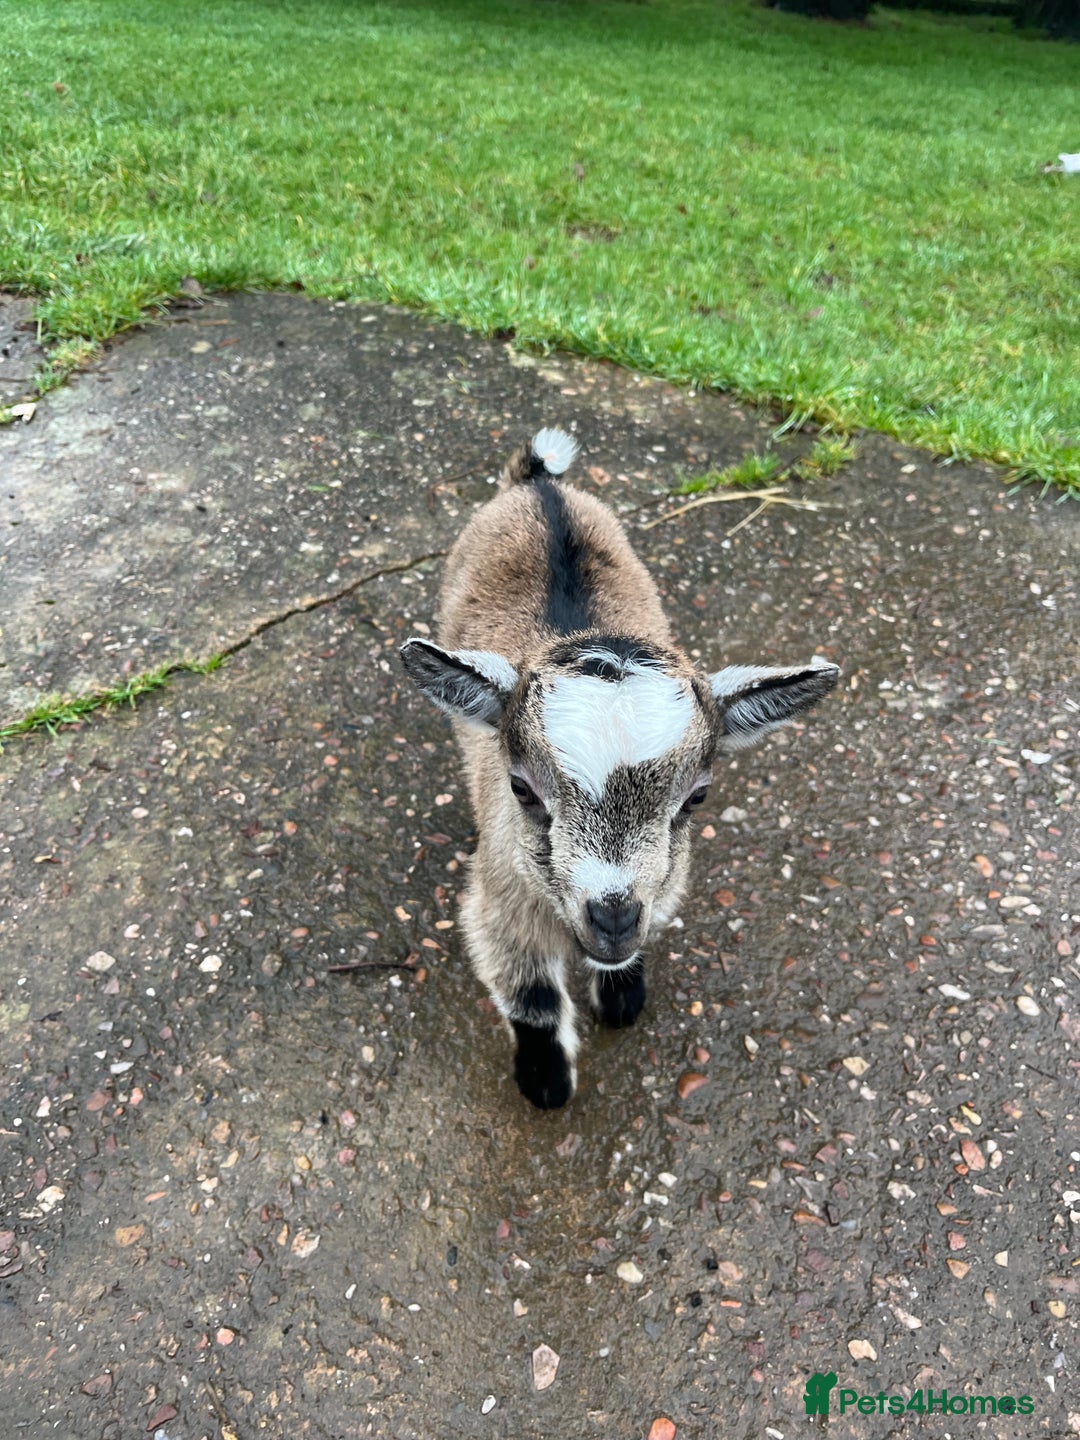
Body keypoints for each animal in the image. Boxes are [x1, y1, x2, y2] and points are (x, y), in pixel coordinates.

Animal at [400, 427, 838, 1109]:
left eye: (697, 797)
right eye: (522, 789)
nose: (611, 918)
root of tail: (538, 482)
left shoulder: (664, 882)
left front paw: (624, 996)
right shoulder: (501, 899)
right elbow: (529, 994)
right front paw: (546, 1083)